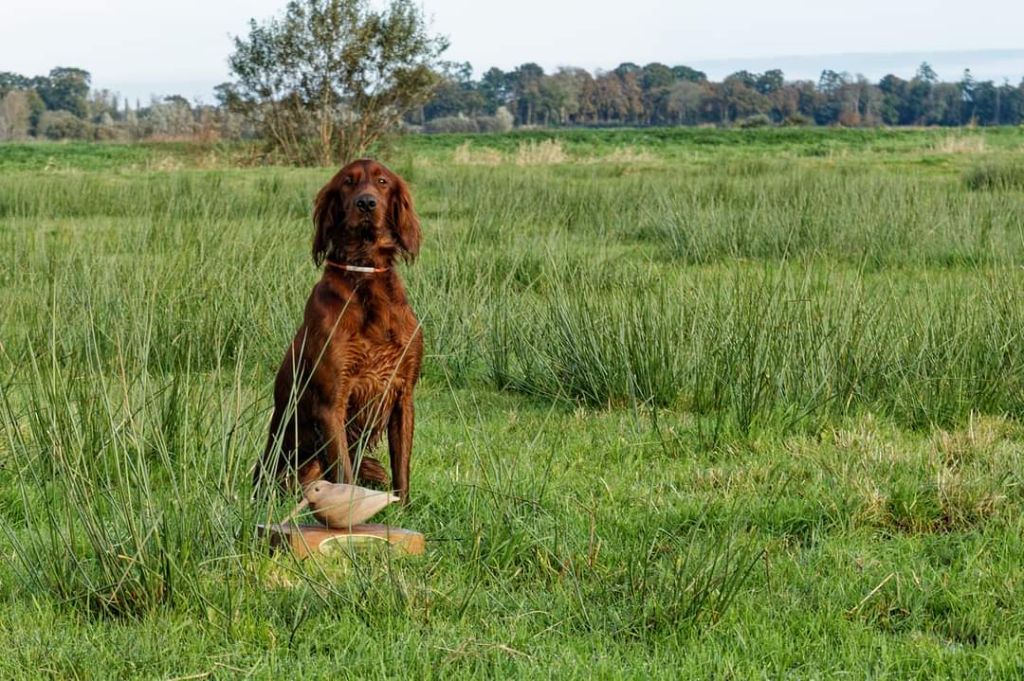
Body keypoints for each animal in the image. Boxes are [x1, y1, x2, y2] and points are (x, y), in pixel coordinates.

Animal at [256, 157, 423, 499]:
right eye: (348, 182)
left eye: (382, 182)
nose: (366, 203)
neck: (365, 273)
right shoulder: (332, 403)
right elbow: (344, 473)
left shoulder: (403, 394)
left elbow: (402, 472)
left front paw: (404, 508)